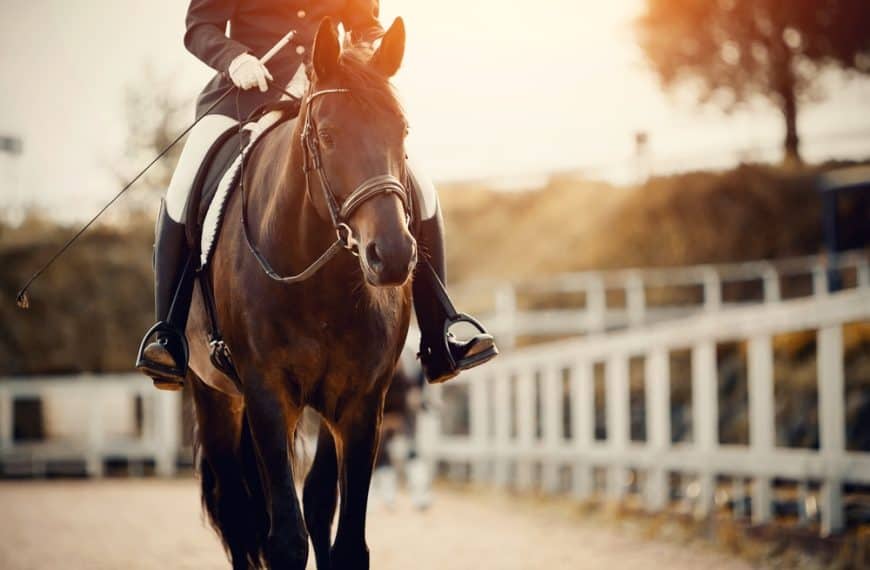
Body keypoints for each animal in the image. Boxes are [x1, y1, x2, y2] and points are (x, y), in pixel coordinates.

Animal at [185, 17, 414, 570]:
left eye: (402, 131)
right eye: (327, 136)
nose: (393, 254)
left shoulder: (360, 403)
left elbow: (345, 538)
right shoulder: (267, 395)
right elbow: (285, 539)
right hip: (215, 395)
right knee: (240, 514)